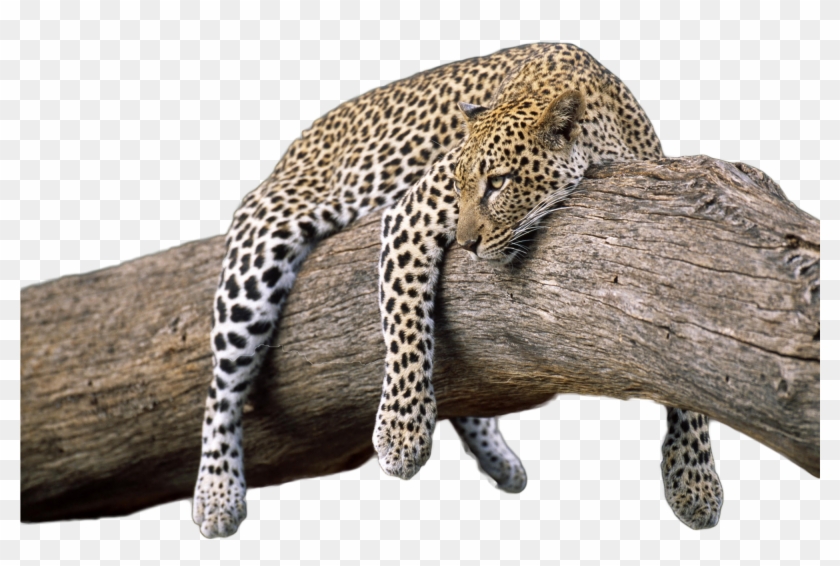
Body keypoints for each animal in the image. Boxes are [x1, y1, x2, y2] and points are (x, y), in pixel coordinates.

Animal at [193, 42, 723, 538]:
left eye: (499, 182)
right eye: (458, 184)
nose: (466, 244)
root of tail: (294, 146)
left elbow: (685, 367)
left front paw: (694, 480)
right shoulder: (410, 214)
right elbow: (407, 322)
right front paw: (401, 434)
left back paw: (499, 461)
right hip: (259, 251)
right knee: (222, 387)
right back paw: (216, 495)